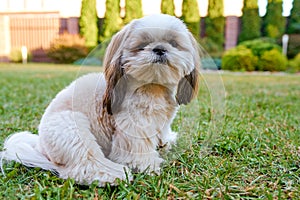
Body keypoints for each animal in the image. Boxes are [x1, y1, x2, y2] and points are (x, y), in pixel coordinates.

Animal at [1, 13, 202, 186]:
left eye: (174, 43)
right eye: (142, 45)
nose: (159, 49)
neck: (153, 87)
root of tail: (40, 146)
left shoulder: (162, 122)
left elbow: (162, 133)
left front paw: (165, 143)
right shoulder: (132, 125)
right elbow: (137, 151)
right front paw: (148, 165)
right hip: (72, 127)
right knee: (84, 165)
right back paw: (113, 174)